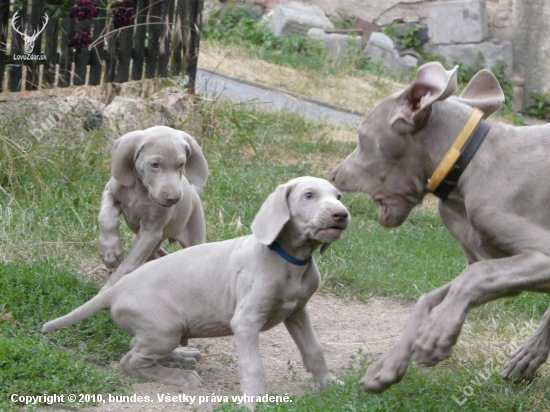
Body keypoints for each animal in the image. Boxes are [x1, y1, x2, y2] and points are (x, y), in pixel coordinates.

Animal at [45, 175, 352, 410]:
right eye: (309, 195)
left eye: (338, 196)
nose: (342, 214)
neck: (292, 261)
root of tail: (118, 287)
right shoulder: (246, 321)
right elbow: (253, 365)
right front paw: (254, 401)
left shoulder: (297, 312)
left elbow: (314, 349)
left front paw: (329, 384)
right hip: (166, 326)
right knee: (130, 361)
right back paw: (182, 377)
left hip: (162, 330)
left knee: (136, 346)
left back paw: (183, 357)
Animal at [97, 126, 209, 290]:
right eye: (155, 165)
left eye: (181, 165)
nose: (174, 199)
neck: (141, 189)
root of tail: (194, 193)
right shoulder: (110, 193)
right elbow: (106, 218)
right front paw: (110, 252)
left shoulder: (150, 232)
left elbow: (127, 266)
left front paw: (110, 288)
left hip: (193, 233)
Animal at [334, 61, 550, 392]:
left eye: (361, 138)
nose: (333, 174)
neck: (469, 161)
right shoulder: (500, 266)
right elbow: (433, 296)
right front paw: (388, 365)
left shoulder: (537, 256)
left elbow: (474, 276)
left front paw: (434, 337)